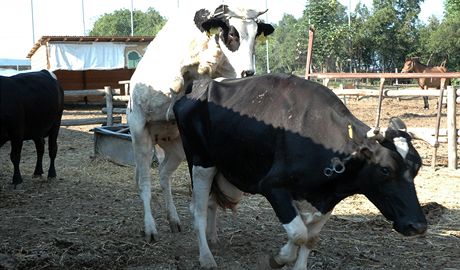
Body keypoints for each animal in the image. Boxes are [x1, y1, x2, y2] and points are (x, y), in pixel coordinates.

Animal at [126, 3, 274, 240]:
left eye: (255, 36)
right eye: (232, 34)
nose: (247, 72)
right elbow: (180, 78)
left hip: (176, 148)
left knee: (163, 174)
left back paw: (173, 218)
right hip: (140, 135)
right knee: (144, 183)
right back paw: (150, 227)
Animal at [174, 73, 430, 268]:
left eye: (417, 168)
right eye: (385, 170)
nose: (418, 226)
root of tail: (198, 86)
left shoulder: (326, 199)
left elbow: (310, 237)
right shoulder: (272, 186)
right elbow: (298, 233)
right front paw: (278, 258)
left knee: (211, 203)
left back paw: (213, 238)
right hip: (200, 161)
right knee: (197, 209)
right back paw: (206, 257)